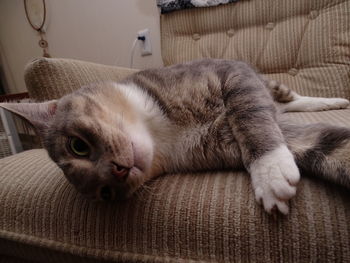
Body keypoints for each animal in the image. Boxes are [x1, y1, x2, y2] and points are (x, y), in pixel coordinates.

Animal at [0, 58, 350, 216]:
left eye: (78, 146)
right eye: (105, 193)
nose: (119, 171)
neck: (161, 132)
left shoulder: (233, 75)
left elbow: (250, 112)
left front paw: (271, 171)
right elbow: (332, 147)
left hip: (263, 80)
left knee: (290, 98)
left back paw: (333, 100)